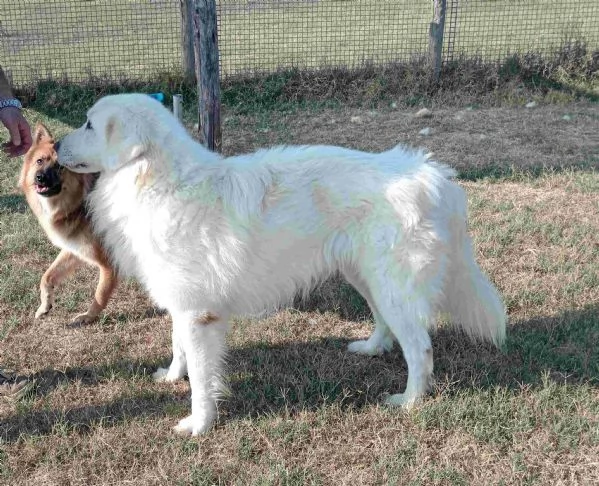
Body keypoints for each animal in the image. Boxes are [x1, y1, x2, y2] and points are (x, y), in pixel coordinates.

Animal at [55, 93, 506, 434]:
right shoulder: (182, 304)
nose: (55, 147)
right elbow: (178, 348)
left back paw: (409, 401)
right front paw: (171, 377)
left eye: (90, 125)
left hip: (391, 285)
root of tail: (433, 175)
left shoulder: (198, 313)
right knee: (387, 325)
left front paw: (198, 425)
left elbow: (201, 377)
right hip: (365, 277)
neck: (159, 181)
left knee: (420, 348)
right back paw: (371, 348)